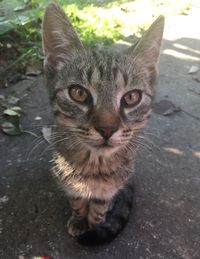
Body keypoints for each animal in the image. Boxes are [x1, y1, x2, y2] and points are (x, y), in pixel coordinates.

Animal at [41, 3, 164, 245]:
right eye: (78, 93)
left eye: (131, 97)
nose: (107, 129)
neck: (93, 166)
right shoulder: (67, 179)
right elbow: (77, 201)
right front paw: (79, 219)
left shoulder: (110, 187)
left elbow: (99, 208)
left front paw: (95, 225)